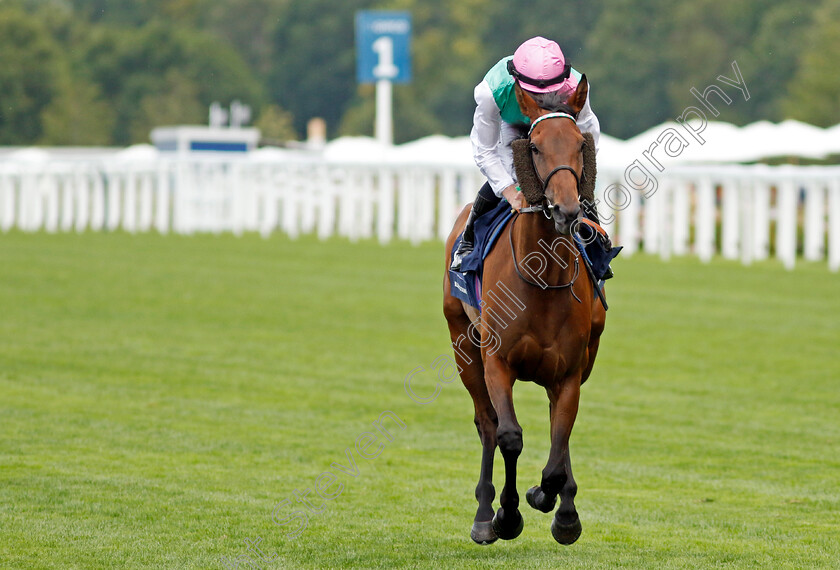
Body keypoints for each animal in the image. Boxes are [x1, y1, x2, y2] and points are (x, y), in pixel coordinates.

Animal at [442, 75, 608, 540]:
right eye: (534, 146)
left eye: (579, 144)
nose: (567, 209)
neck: (544, 280)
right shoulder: (497, 361)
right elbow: (509, 435)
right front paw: (507, 514)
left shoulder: (571, 371)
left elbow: (559, 443)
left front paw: (555, 505)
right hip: (462, 344)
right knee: (486, 423)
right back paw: (484, 513)